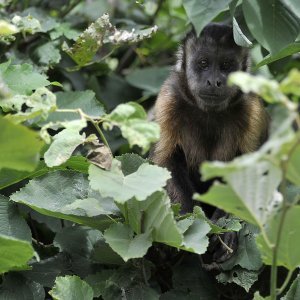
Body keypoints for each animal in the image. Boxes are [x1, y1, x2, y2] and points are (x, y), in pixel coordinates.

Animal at [150, 22, 270, 262]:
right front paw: (185, 224)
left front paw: (225, 231)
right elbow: (165, 163)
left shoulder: (252, 110)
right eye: (203, 63)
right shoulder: (169, 99)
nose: (214, 81)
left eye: (226, 65)